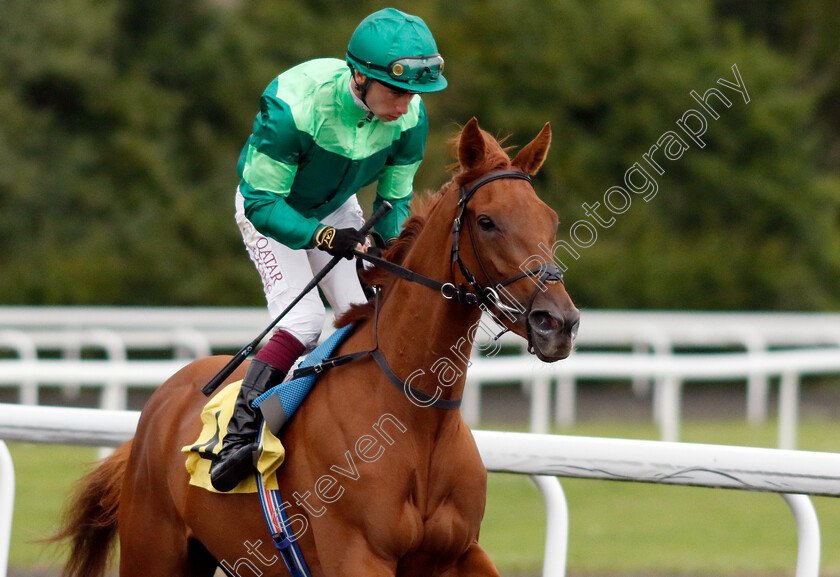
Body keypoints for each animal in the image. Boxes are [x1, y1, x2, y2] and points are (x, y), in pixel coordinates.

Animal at [54, 118, 576, 576]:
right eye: (486, 221)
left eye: (551, 219)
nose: (558, 322)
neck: (415, 419)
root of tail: (162, 401)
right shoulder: (358, 555)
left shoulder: (461, 552)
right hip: (155, 551)